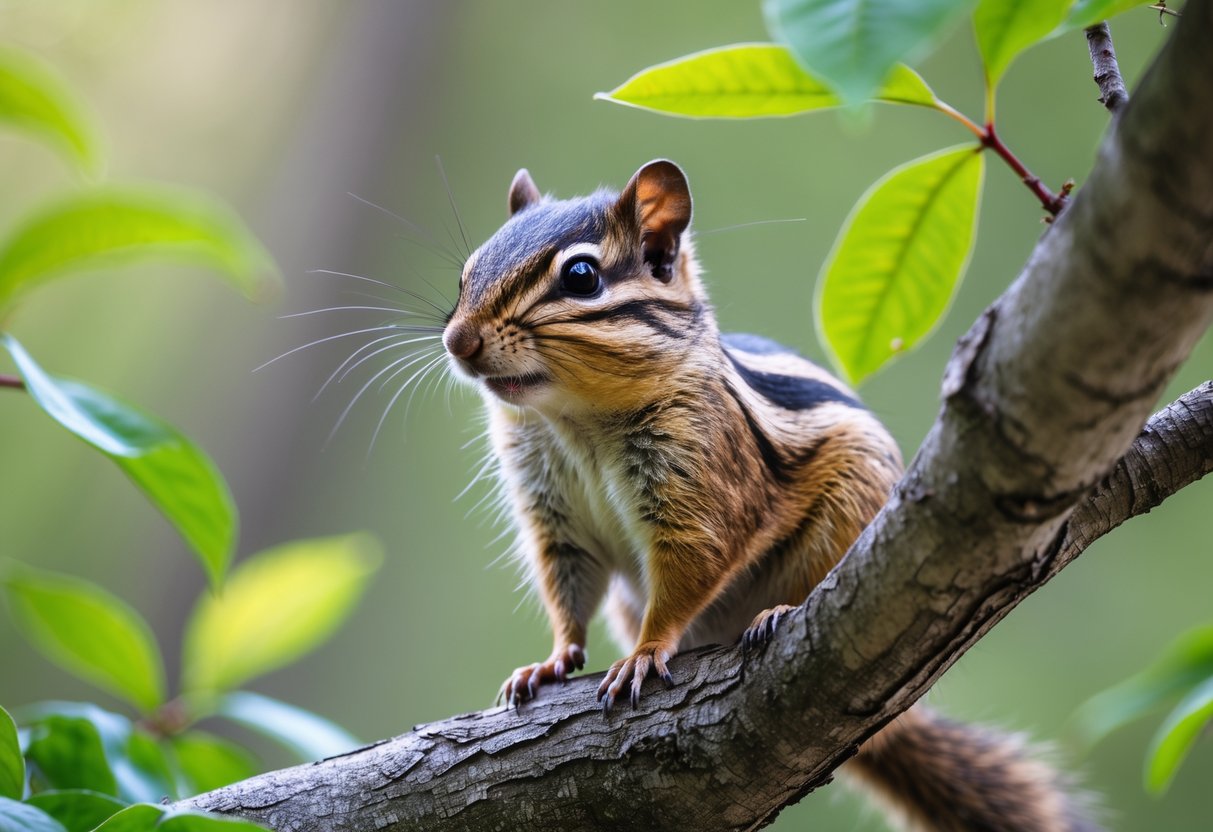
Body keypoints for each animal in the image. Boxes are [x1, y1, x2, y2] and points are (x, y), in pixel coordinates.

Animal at [441, 160, 1098, 831]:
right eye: (467, 272)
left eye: (581, 276)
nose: (458, 341)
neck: (576, 421)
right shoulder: (553, 516)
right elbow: (568, 588)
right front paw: (550, 662)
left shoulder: (703, 481)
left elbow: (694, 562)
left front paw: (646, 653)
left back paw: (777, 612)